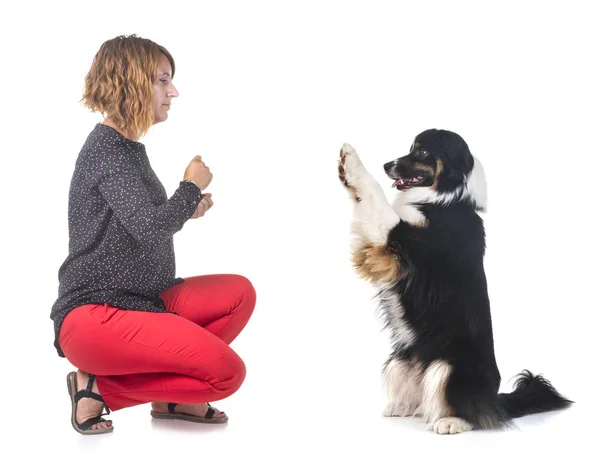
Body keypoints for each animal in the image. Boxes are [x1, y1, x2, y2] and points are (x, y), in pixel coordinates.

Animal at [338, 129, 572, 436]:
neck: (447, 200)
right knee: (424, 399)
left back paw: (451, 422)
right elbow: (364, 205)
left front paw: (351, 158)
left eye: (422, 152)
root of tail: (494, 399)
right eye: (411, 148)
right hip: (400, 359)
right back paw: (403, 406)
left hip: (449, 367)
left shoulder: (403, 240)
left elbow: (375, 194)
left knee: (468, 410)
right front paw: (345, 171)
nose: (387, 165)